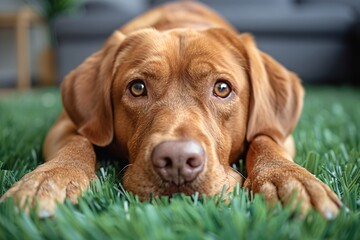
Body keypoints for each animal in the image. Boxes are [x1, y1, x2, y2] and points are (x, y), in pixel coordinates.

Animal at [1, 0, 342, 218]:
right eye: (137, 88)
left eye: (222, 88)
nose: (177, 161)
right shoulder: (67, 123)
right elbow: (77, 143)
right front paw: (49, 180)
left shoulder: (278, 130)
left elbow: (266, 141)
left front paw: (290, 181)